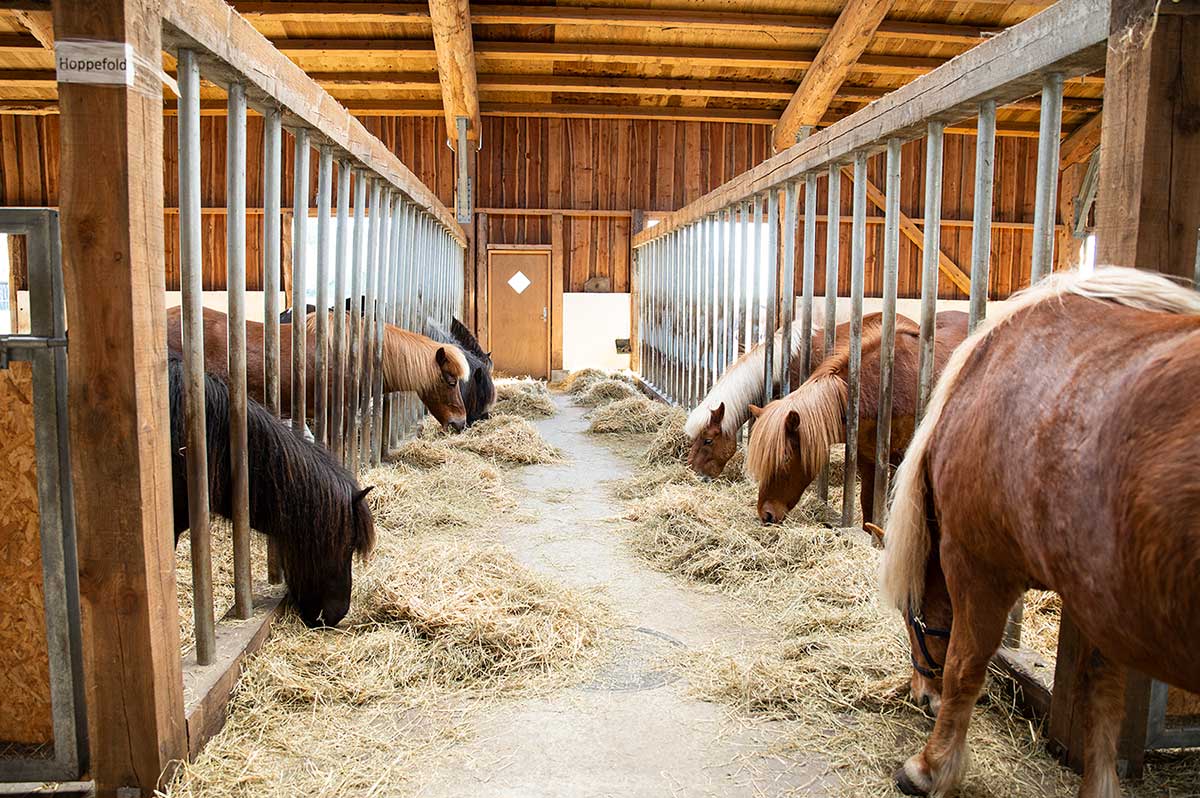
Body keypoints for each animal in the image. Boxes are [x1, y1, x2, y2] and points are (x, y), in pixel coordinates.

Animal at [883, 267, 1200, 796]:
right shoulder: (1100, 598)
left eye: (913, 619)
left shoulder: (978, 565)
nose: (921, 694)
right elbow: (1103, 696)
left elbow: (965, 665)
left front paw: (929, 768)